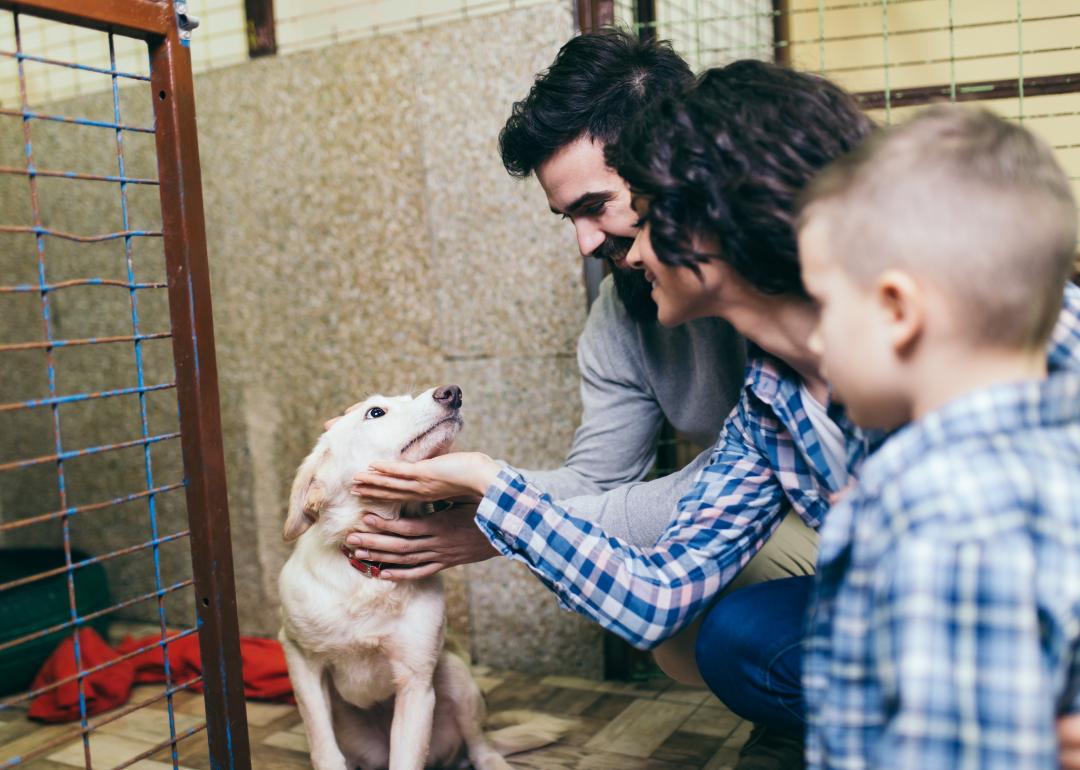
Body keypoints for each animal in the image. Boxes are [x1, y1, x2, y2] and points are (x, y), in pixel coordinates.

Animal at [278, 385, 554, 770]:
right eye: (375, 412)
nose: (452, 392)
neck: (370, 576)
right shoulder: (300, 658)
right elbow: (323, 746)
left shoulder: (417, 683)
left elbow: (407, 757)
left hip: (455, 675)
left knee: (481, 745)